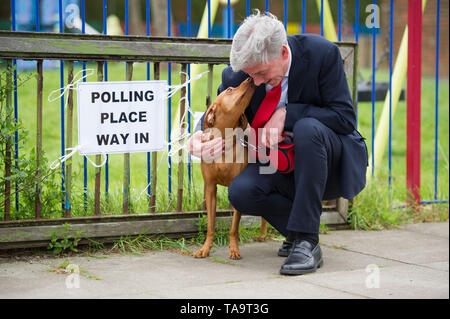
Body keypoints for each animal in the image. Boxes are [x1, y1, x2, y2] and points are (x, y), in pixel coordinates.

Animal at [194, 77, 268, 260]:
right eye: (229, 90)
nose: (249, 78)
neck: (225, 143)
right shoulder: (210, 188)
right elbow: (210, 225)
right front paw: (205, 248)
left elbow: (234, 228)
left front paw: (234, 249)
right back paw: (263, 234)